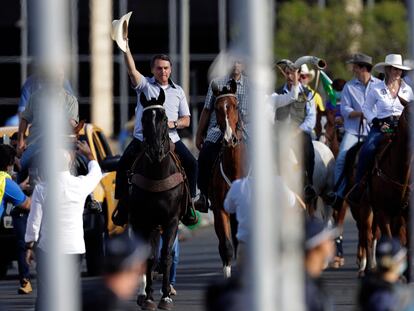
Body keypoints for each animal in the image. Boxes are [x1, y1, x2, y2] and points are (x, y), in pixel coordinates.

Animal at [128, 88, 188, 311]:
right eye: (144, 119)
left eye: (163, 117)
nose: (155, 151)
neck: (157, 174)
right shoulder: (143, 221)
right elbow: (149, 257)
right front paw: (148, 297)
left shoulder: (171, 221)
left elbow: (166, 256)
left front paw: (165, 297)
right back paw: (142, 292)